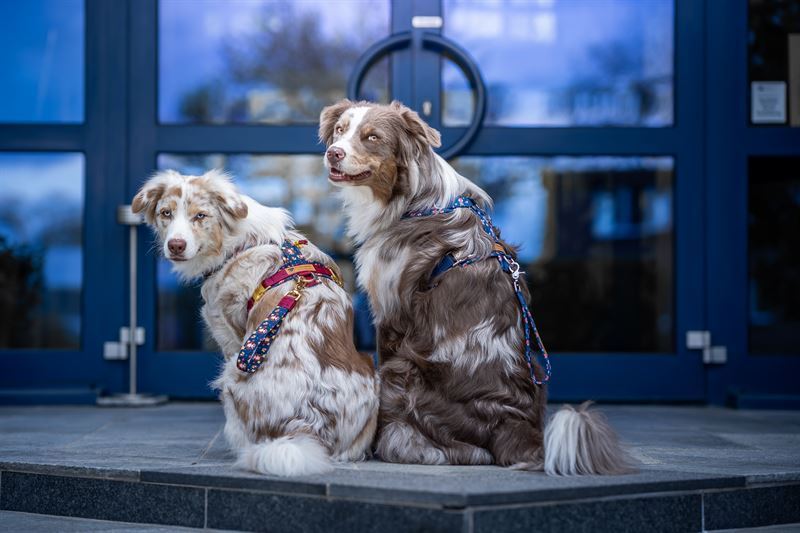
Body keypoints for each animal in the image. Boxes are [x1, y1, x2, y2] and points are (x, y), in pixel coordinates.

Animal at [133, 169, 380, 474]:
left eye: (201, 216)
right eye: (165, 213)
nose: (175, 245)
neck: (236, 242)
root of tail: (306, 427)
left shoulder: (227, 332)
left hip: (230, 377)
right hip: (370, 370)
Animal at [318, 100, 632, 474]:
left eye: (373, 137)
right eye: (340, 131)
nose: (333, 153)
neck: (413, 199)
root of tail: (510, 420)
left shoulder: (391, 313)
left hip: (405, 369)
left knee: (456, 451)